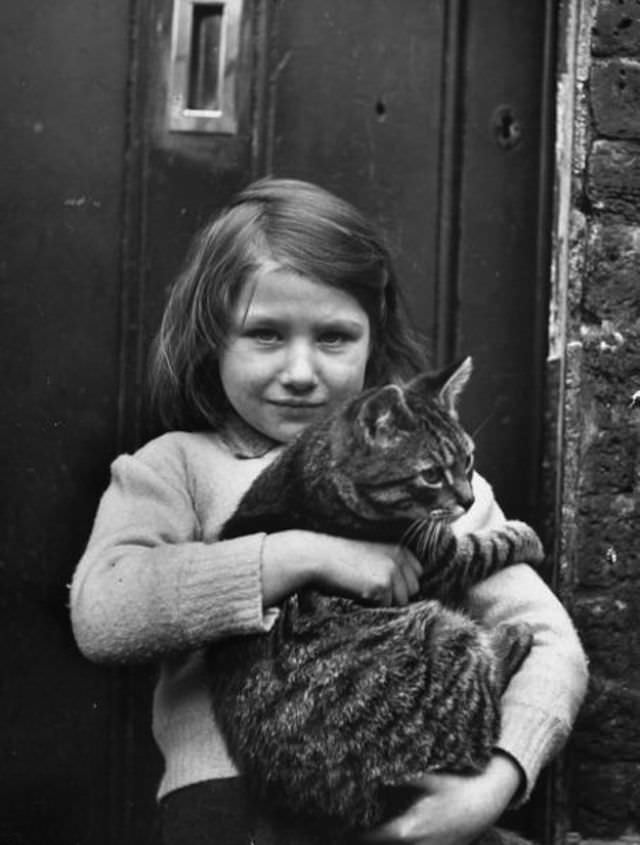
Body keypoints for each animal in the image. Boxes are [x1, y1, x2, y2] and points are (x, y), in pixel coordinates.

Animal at [206, 356, 544, 836]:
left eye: (469, 460)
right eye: (431, 474)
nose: (468, 499)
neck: (320, 469)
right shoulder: (440, 556)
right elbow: (485, 546)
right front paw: (525, 535)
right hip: (447, 636)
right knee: (486, 702)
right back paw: (511, 636)